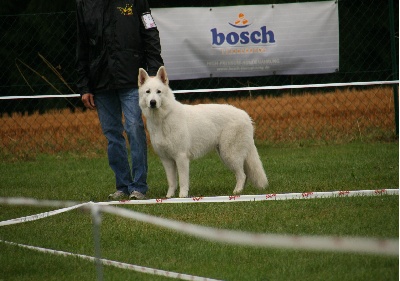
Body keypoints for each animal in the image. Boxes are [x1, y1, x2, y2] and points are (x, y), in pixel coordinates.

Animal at [138, 66, 268, 197]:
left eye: (158, 91)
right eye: (148, 92)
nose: (153, 102)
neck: (163, 119)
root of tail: (245, 115)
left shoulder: (181, 157)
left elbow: (183, 180)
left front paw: (182, 196)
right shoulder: (166, 160)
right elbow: (172, 182)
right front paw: (169, 197)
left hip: (230, 155)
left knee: (242, 175)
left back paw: (237, 191)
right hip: (226, 154)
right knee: (244, 175)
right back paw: (240, 192)